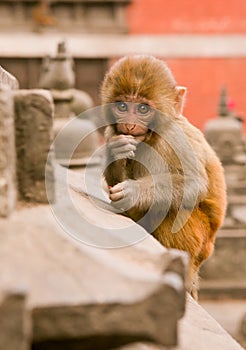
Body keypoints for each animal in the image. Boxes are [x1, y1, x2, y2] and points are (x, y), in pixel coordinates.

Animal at [100, 55, 227, 298]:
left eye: (142, 108)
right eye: (122, 106)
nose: (130, 125)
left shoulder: (174, 138)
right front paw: (117, 151)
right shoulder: (112, 132)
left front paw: (133, 191)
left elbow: (193, 184)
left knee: (174, 210)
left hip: (203, 242)